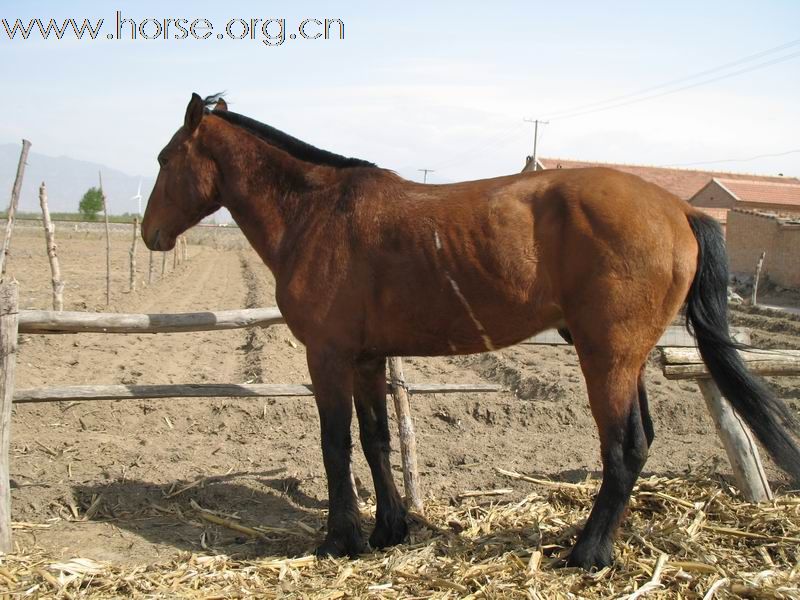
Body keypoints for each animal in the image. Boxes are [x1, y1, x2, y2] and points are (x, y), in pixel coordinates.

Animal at [142, 94, 800, 572]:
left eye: (165, 159)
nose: (150, 234)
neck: (319, 212)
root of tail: (679, 209)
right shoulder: (366, 359)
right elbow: (376, 440)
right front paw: (388, 531)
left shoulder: (327, 357)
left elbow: (335, 444)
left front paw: (340, 539)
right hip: (626, 359)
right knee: (639, 444)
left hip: (606, 358)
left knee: (625, 448)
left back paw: (588, 553)